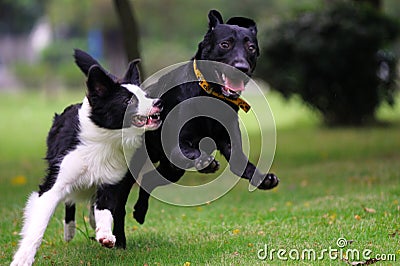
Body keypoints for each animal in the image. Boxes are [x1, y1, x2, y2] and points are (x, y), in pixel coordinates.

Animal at [12, 50, 162, 266]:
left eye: (146, 96)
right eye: (129, 101)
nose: (159, 103)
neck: (104, 141)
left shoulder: (111, 182)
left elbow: (105, 210)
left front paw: (105, 235)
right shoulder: (54, 184)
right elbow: (38, 225)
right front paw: (23, 258)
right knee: (69, 202)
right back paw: (69, 231)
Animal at [106, 9, 282, 248]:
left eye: (251, 47)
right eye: (225, 44)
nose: (241, 68)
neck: (211, 95)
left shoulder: (230, 145)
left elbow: (243, 165)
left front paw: (263, 179)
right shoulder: (178, 143)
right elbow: (190, 150)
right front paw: (205, 162)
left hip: (172, 170)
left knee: (149, 181)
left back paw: (140, 212)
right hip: (132, 168)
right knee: (119, 206)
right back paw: (120, 241)